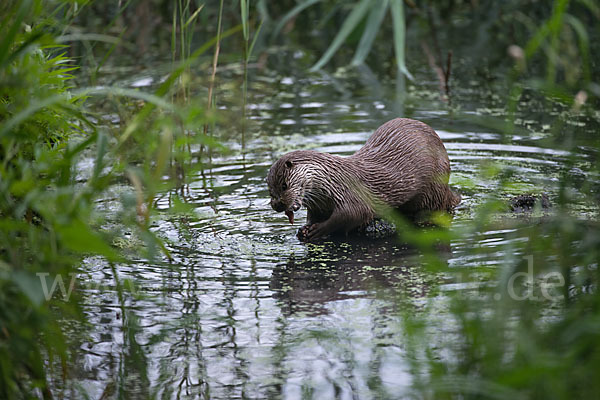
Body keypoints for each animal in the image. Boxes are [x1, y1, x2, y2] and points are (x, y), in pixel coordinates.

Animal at [266, 118, 460, 241]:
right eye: (270, 191)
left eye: (284, 185)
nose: (278, 205)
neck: (331, 182)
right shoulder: (318, 205)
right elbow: (313, 217)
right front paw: (303, 229)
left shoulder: (351, 194)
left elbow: (352, 214)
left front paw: (319, 229)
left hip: (433, 188)